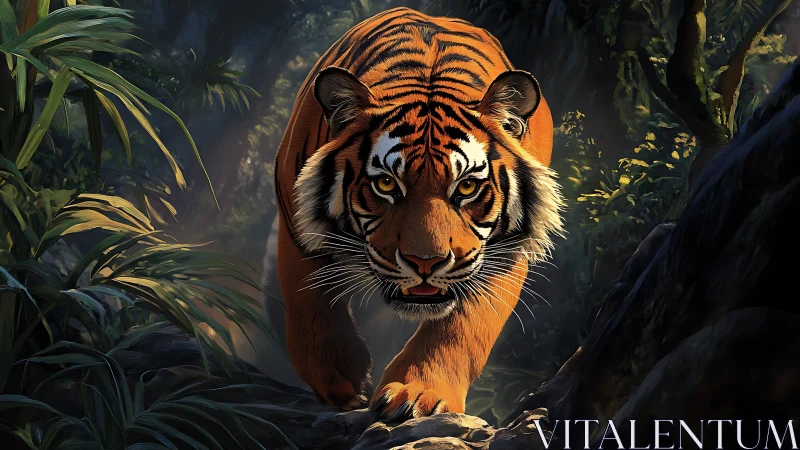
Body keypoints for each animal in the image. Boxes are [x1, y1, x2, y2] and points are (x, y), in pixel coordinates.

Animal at [273, 7, 563, 421]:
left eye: (467, 187)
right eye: (387, 184)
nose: (425, 262)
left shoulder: (506, 252)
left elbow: (463, 326)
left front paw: (417, 393)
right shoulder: (294, 220)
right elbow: (309, 300)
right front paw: (340, 379)